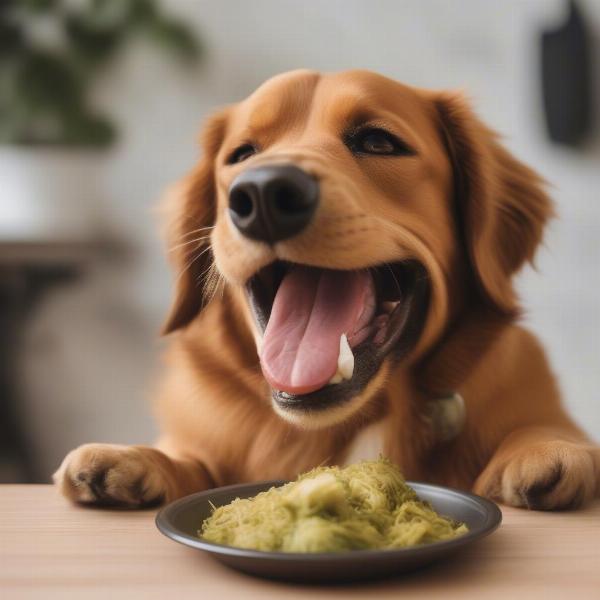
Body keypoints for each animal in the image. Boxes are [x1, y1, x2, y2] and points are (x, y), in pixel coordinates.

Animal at [55, 70, 600, 510]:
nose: (264, 194)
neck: (359, 420)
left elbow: (544, 426)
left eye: (379, 142)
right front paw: (135, 458)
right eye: (242, 154)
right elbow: (190, 456)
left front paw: (545, 449)